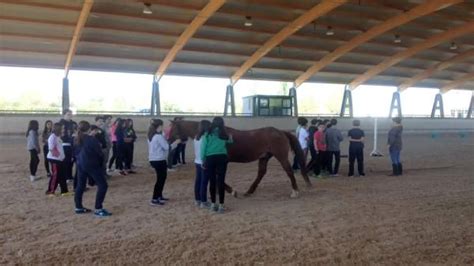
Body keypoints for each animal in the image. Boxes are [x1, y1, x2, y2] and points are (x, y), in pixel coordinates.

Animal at [168, 120, 312, 197]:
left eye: (172, 128)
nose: (168, 140)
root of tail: (281, 132)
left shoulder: (221, 161)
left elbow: (218, 177)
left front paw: (232, 191)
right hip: (264, 157)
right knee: (261, 173)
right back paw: (249, 191)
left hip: (280, 156)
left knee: (289, 171)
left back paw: (295, 192)